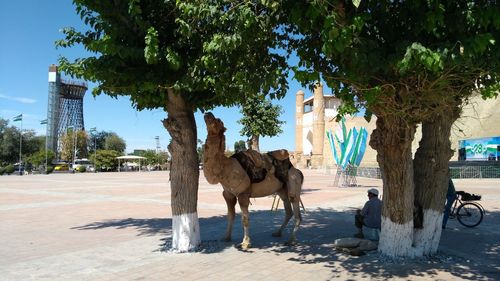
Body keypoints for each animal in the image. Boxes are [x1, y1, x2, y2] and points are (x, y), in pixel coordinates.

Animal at [201, 111, 302, 247]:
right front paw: (226, 237)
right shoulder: (228, 194)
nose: (208, 113)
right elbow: (230, 216)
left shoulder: (243, 194)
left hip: (293, 183)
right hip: (281, 189)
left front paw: (245, 243)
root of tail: (297, 171)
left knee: (296, 210)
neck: (226, 168)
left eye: (219, 121)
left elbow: (245, 219)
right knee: (288, 210)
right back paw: (277, 232)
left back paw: (291, 240)